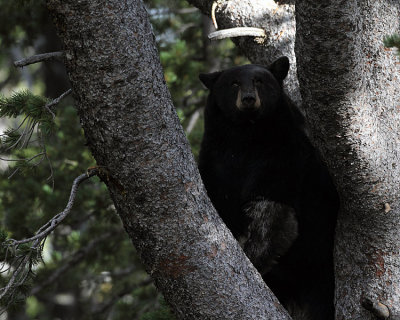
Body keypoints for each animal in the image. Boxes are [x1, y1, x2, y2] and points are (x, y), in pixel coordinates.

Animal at [198, 57, 340, 320]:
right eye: (234, 83)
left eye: (259, 81)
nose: (248, 99)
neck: (245, 137)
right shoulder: (215, 158)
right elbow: (219, 200)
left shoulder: (283, 155)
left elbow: (271, 211)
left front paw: (252, 258)